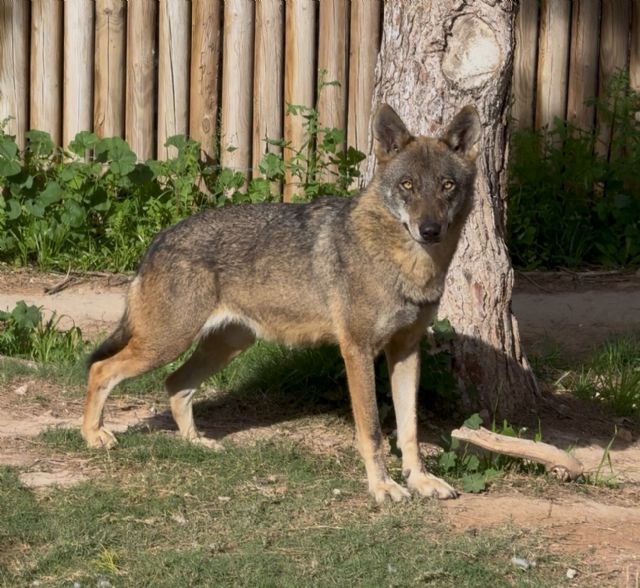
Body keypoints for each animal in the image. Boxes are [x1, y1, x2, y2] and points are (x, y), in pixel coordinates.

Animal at [82, 104, 481, 502]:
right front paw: (382, 486)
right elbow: (372, 431)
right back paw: (93, 435)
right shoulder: (357, 351)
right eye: (407, 185)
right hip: (166, 344)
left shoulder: (406, 351)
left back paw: (197, 443)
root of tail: (159, 238)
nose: (429, 230)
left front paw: (420, 480)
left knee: (175, 384)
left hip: (224, 347)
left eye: (447, 185)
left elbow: (409, 430)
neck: (407, 265)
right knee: (101, 369)